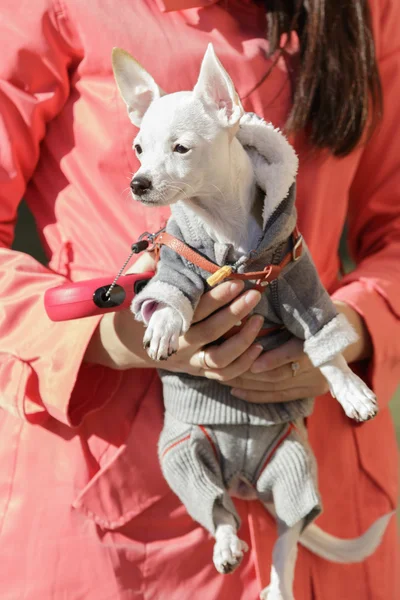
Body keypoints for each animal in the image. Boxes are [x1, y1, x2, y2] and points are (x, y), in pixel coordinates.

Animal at [111, 45, 392, 600]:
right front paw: (164, 328)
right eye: (137, 149)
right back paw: (227, 545)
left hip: (294, 468)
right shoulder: (176, 264)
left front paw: (352, 392)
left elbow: (325, 345)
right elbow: (168, 298)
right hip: (182, 456)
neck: (223, 228)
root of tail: (243, 482)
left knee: (287, 538)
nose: (138, 183)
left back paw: (277, 585)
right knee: (217, 511)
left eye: (181, 148)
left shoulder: (297, 282)